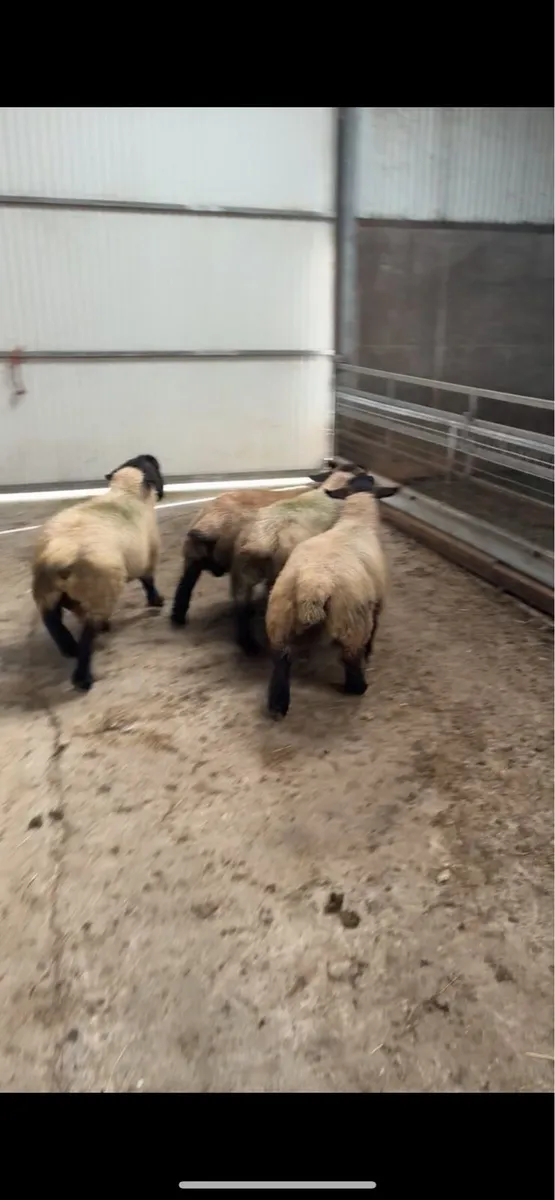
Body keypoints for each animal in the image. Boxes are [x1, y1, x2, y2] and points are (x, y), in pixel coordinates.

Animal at [32, 453, 165, 693]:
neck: (126, 493)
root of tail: (59, 554)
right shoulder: (147, 556)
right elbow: (148, 580)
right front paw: (156, 601)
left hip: (46, 593)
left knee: (52, 621)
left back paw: (70, 648)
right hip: (101, 590)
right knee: (87, 635)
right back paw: (83, 677)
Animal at [264, 472, 400, 718]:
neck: (356, 522)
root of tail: (313, 585)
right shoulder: (378, 602)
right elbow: (375, 629)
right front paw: (370, 652)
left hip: (279, 616)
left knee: (280, 661)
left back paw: (278, 705)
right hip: (352, 621)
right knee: (351, 660)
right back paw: (359, 687)